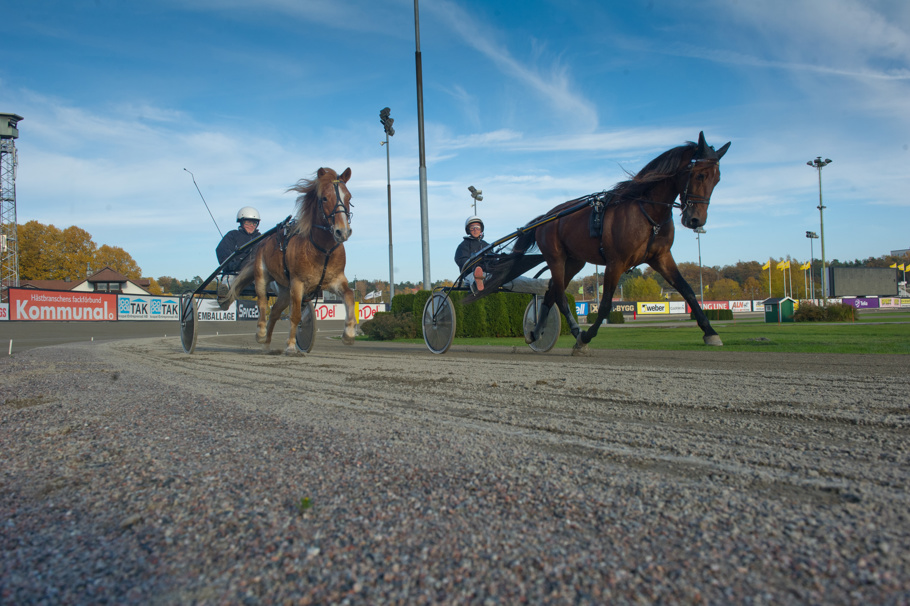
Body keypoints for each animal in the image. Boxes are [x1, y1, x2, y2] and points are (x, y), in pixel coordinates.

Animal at [224, 166, 356, 356]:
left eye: (349, 197)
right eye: (324, 198)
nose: (342, 231)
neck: (323, 250)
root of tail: (263, 241)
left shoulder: (336, 280)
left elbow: (350, 296)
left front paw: (349, 333)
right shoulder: (297, 283)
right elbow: (295, 316)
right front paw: (291, 346)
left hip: (284, 291)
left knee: (274, 312)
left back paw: (267, 345)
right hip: (263, 275)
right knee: (262, 303)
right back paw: (261, 334)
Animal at [516, 131, 732, 354]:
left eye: (717, 178)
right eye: (700, 175)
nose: (697, 220)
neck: (648, 213)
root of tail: (547, 216)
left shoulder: (661, 257)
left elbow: (688, 290)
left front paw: (710, 332)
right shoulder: (616, 262)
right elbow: (604, 304)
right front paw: (585, 337)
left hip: (575, 261)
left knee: (550, 292)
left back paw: (536, 332)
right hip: (556, 257)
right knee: (559, 294)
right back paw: (574, 331)